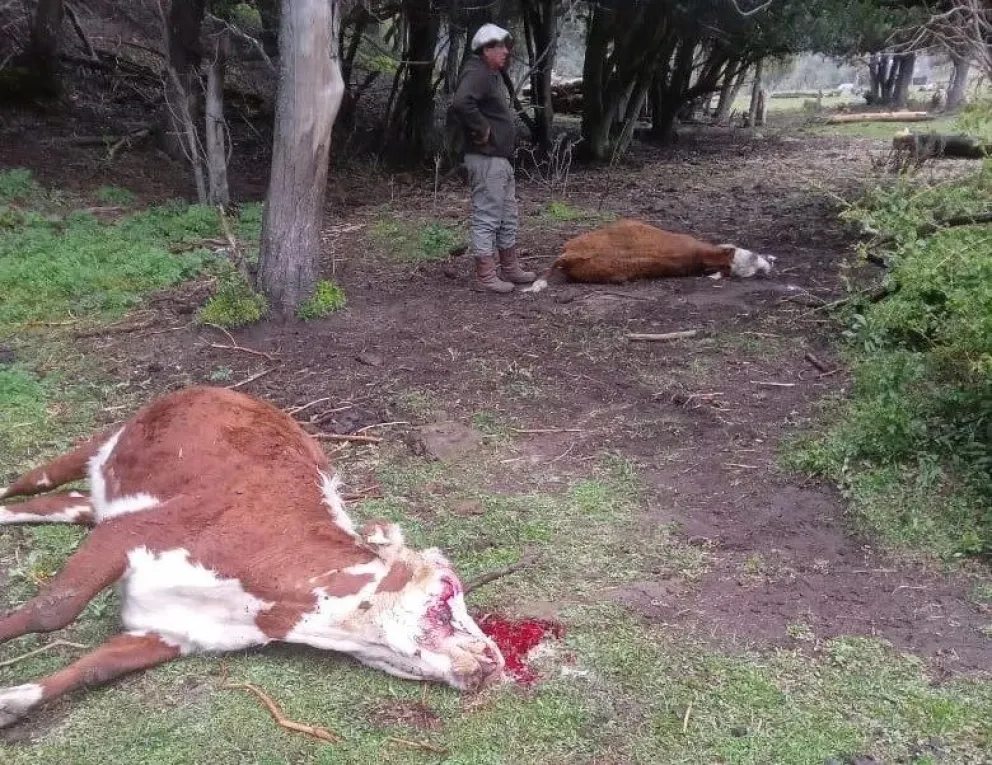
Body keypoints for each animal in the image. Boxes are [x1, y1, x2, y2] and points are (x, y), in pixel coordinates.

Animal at [0, 386, 504, 728]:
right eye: (448, 591)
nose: (494, 659)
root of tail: (229, 391)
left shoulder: (174, 633)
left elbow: (92, 670)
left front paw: (11, 701)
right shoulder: (130, 534)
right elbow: (52, 609)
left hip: (100, 499)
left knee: (62, 503)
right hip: (108, 440)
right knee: (33, 481)